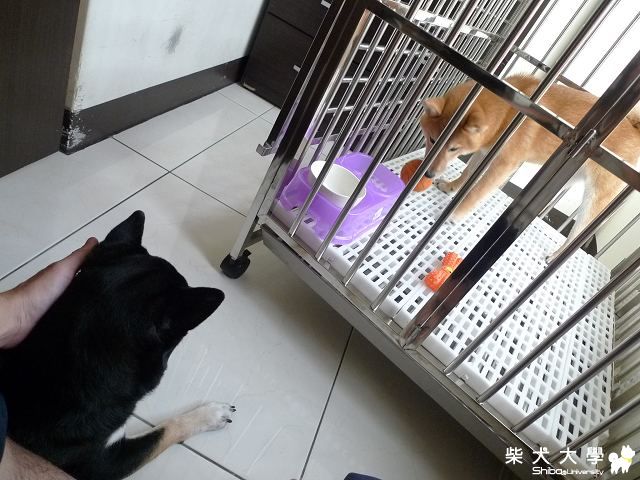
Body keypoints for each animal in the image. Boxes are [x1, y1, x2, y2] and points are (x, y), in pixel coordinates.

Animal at [419, 74, 640, 261]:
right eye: (433, 139)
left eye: (453, 148)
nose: (428, 173)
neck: (508, 114)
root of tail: (633, 129)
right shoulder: (485, 151)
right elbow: (467, 173)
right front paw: (451, 187)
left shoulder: (503, 166)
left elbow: (475, 193)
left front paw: (453, 215)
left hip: (593, 200)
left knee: (576, 236)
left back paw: (555, 256)